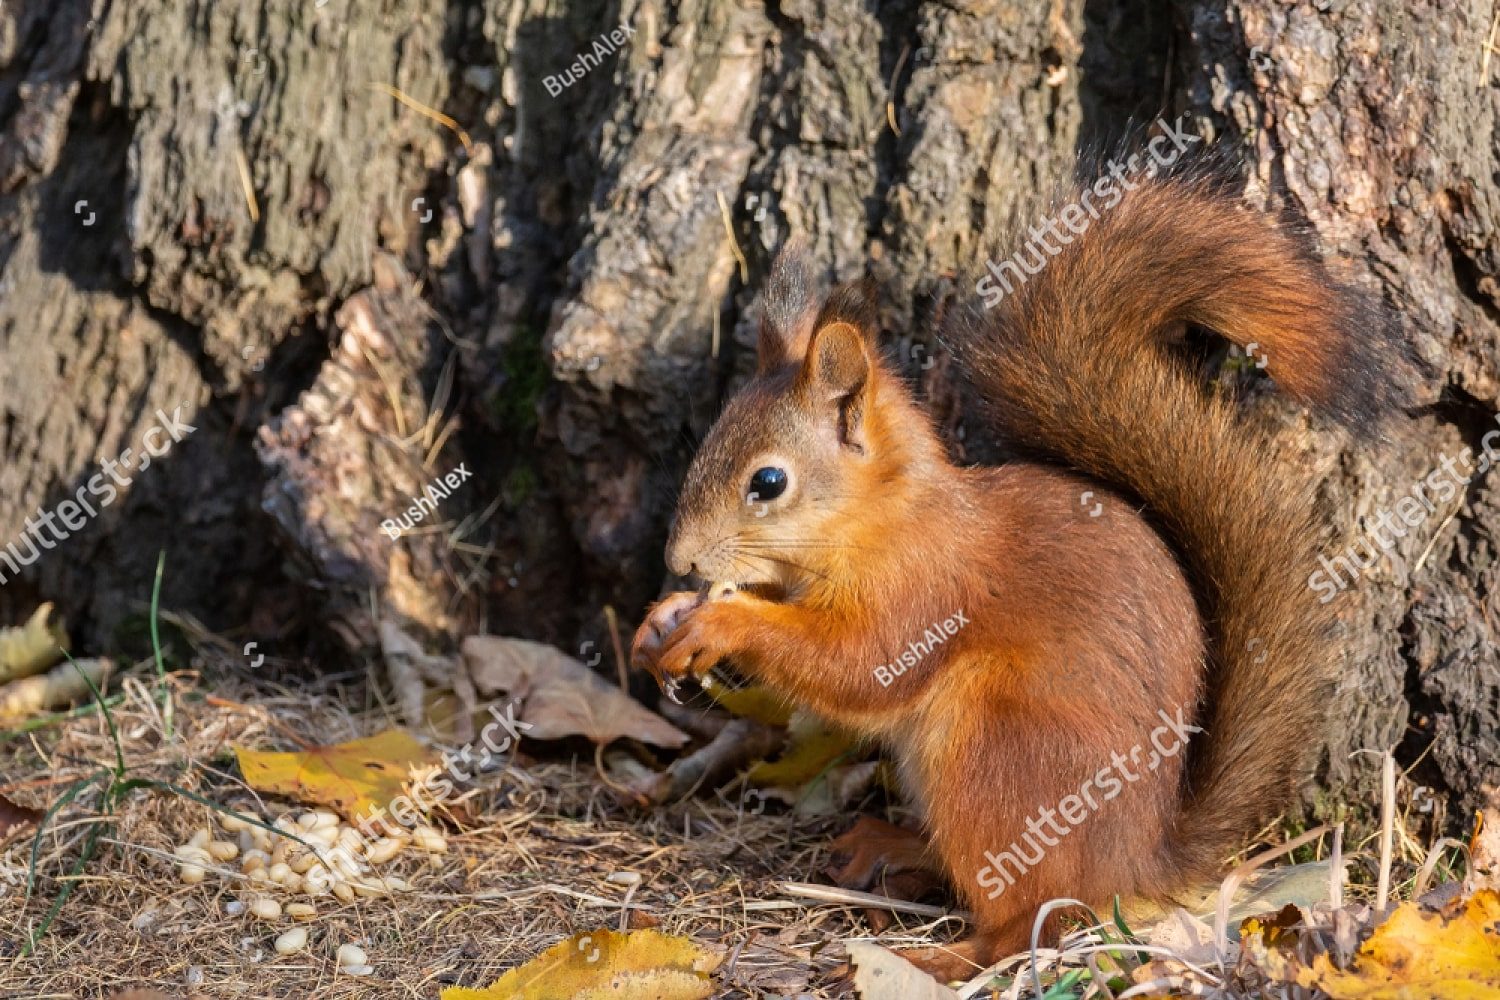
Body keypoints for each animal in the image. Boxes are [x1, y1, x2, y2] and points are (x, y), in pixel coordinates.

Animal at [631, 166, 1405, 973]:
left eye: (769, 482)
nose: (678, 560)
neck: (881, 519)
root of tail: (1138, 865)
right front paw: (659, 624)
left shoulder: (927, 591)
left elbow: (858, 666)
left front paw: (721, 622)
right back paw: (889, 845)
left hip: (998, 754)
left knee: (1027, 917)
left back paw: (938, 959)